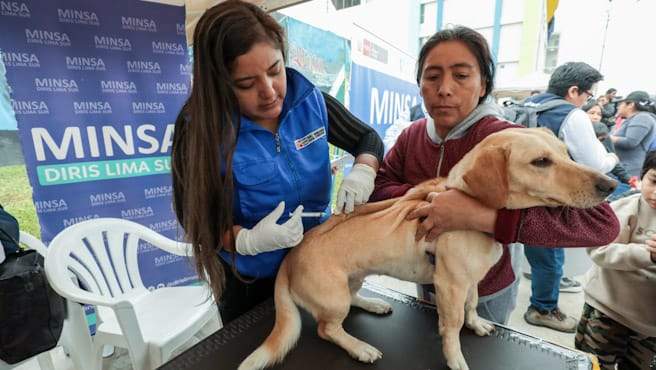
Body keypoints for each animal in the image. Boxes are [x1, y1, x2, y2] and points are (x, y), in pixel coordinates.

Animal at [240, 128, 616, 370]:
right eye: (541, 162)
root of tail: (289, 258)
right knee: (327, 328)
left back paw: (374, 304)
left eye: (567, 153)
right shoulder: (449, 285)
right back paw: (360, 348)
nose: (610, 184)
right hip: (333, 299)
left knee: (351, 301)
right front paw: (456, 359)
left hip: (353, 281)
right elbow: (451, 327)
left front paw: (476, 325)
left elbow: (472, 306)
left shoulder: (470, 282)